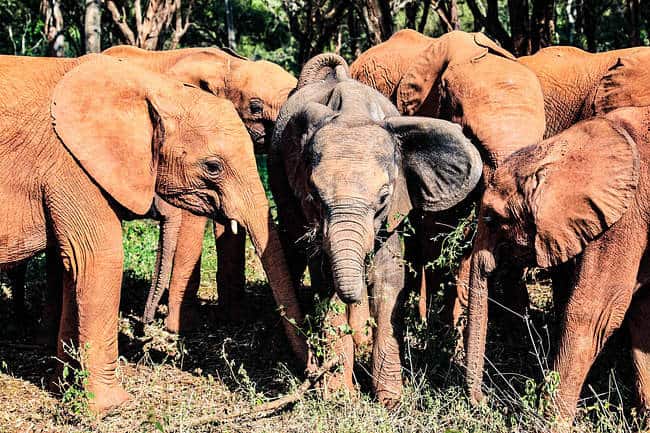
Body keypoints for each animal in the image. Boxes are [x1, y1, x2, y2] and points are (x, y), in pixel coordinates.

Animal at [0, 54, 306, 413]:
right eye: (212, 167)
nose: (308, 374)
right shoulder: (71, 165)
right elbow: (100, 258)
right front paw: (111, 407)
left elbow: (73, 265)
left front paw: (62, 388)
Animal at [269, 53, 483, 406]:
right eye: (314, 195)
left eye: (383, 197)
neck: (352, 113)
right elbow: (325, 278)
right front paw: (340, 398)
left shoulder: (394, 209)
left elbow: (388, 278)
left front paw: (391, 400)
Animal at [464, 105, 650, 423]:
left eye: (492, 218)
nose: (484, 400)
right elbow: (641, 315)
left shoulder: (625, 215)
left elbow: (595, 312)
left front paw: (548, 421)